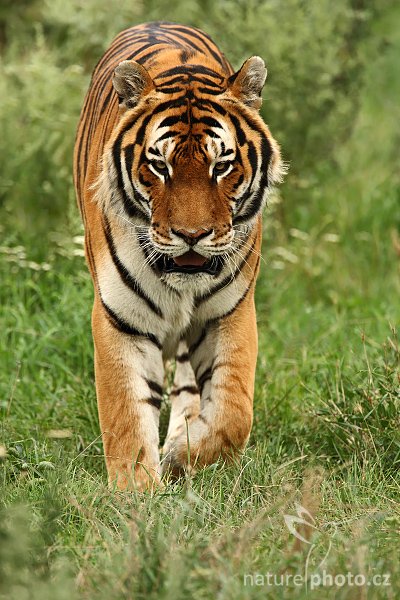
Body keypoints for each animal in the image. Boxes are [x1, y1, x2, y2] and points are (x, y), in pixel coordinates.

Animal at [72, 19, 284, 492]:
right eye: (159, 166)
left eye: (221, 166)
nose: (192, 236)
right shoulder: (121, 319)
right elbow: (126, 417)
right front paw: (136, 495)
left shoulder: (230, 312)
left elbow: (233, 415)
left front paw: (184, 458)